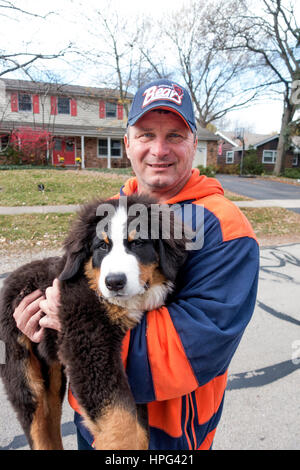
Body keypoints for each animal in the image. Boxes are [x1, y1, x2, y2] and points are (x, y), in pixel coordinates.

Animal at [0, 196, 188, 452]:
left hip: (51, 373)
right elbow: (121, 421)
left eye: (138, 243)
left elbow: (135, 421)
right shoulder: (88, 347)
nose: (114, 282)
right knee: (38, 425)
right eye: (102, 246)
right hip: (24, 372)